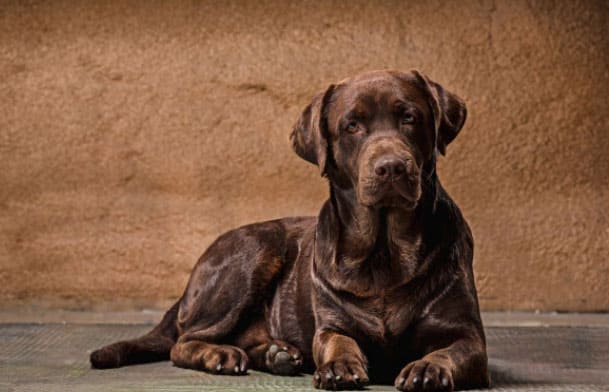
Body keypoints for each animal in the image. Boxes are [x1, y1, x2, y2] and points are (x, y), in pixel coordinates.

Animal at [89, 71, 490, 392]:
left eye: (409, 117)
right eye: (352, 126)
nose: (391, 166)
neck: (384, 251)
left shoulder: (468, 336)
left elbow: (451, 351)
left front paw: (427, 367)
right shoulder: (332, 326)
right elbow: (336, 343)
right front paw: (339, 366)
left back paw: (276, 353)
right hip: (256, 250)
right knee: (183, 341)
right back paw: (223, 355)